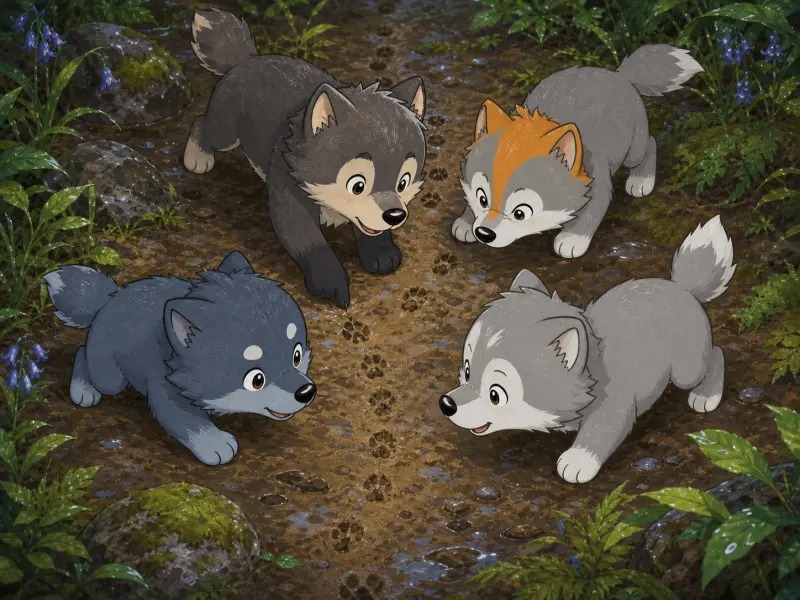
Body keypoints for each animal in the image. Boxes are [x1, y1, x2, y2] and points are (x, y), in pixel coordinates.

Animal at [43, 251, 315, 466]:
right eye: (257, 379)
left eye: (296, 356)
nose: (306, 391)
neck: (176, 355)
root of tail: (111, 297)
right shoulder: (162, 384)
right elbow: (186, 420)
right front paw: (215, 443)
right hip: (110, 378)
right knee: (83, 354)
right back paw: (83, 390)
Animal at [184, 8, 427, 309]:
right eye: (357, 185)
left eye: (403, 182)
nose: (395, 215)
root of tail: (248, 58)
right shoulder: (287, 193)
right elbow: (308, 242)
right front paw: (330, 282)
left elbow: (371, 229)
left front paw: (382, 254)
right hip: (226, 132)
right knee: (201, 124)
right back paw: (197, 157)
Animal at [439, 216, 736, 483]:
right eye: (467, 371)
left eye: (495, 395)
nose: (447, 404)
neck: (591, 368)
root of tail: (682, 288)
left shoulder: (615, 401)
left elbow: (602, 430)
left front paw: (578, 462)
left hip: (687, 368)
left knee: (717, 354)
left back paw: (706, 396)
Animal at [452, 44, 703, 259]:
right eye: (482, 198)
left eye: (520, 212)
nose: (484, 234)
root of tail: (618, 74)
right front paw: (466, 222)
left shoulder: (598, 180)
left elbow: (591, 211)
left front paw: (572, 240)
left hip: (634, 148)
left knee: (650, 144)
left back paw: (641, 181)